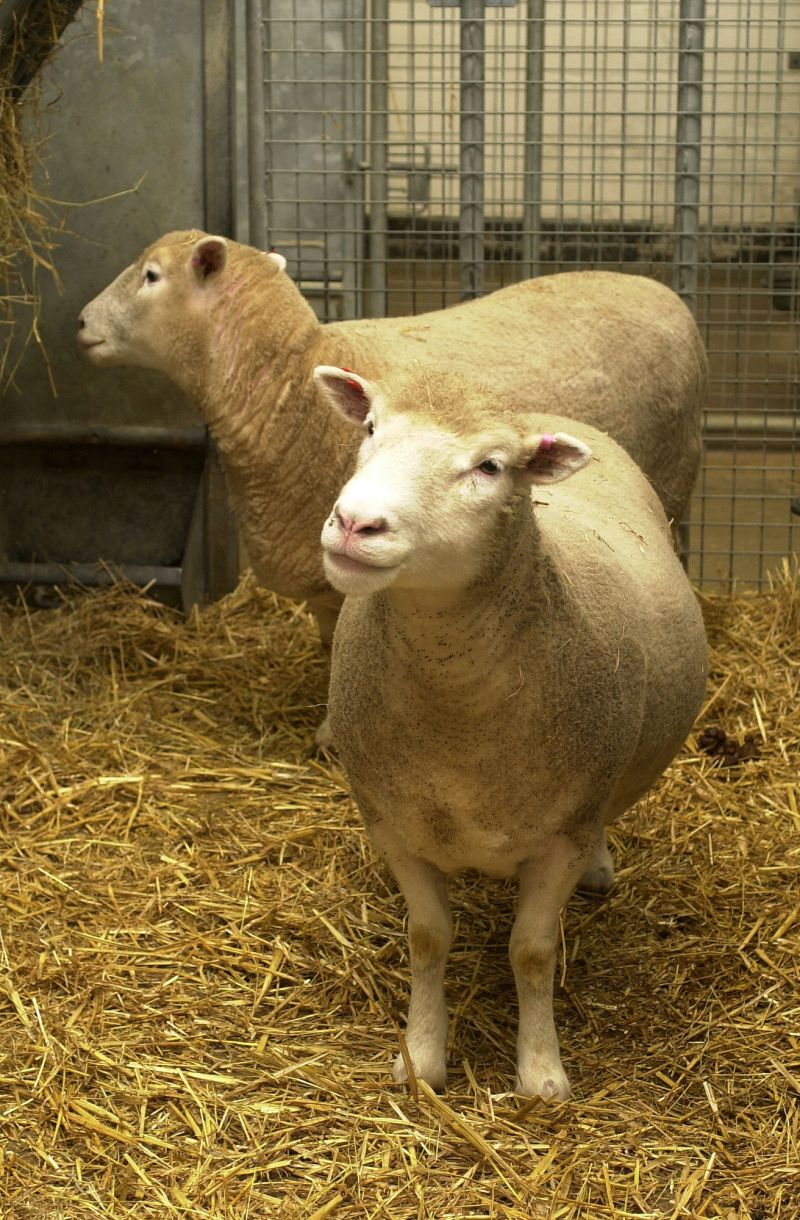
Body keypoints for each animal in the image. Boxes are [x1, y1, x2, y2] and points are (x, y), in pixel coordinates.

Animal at [316, 363, 707, 1099]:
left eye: (490, 466)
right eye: (372, 425)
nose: (355, 523)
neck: (455, 714)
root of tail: (550, 417)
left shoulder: (562, 834)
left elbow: (531, 951)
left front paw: (542, 1074)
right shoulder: (393, 825)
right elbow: (427, 939)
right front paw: (422, 1059)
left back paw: (601, 869)